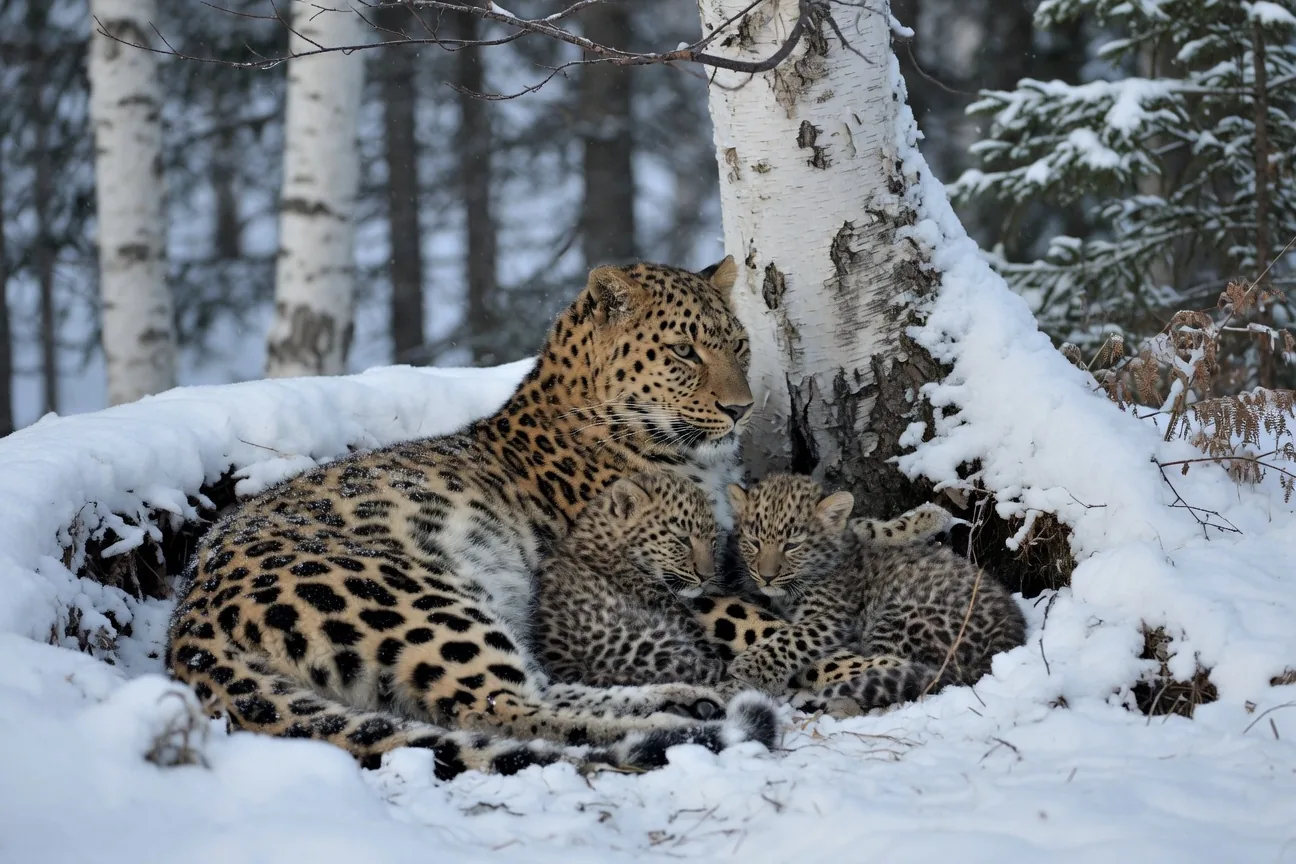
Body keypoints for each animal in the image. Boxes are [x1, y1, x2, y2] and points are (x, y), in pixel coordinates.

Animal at [166, 257, 781, 781]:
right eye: (683, 351)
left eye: (739, 347)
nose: (740, 409)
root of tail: (188, 621)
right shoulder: (664, 572)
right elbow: (754, 617)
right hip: (416, 596)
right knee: (498, 709)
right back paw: (672, 725)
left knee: (532, 691)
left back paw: (682, 698)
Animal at [724, 473, 1026, 713]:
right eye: (753, 542)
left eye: (791, 545)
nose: (766, 576)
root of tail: (1008, 640)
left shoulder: (830, 615)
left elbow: (793, 636)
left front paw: (750, 667)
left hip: (902, 619)